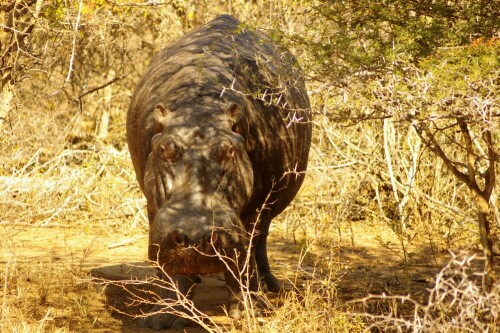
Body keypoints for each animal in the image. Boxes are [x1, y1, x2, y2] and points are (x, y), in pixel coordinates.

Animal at [127, 14, 310, 326]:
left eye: (228, 150)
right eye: (165, 149)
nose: (194, 237)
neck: (199, 109)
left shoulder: (252, 211)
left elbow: (242, 259)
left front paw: (247, 313)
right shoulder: (155, 207)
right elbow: (168, 269)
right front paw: (162, 318)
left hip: (268, 205)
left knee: (259, 241)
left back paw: (268, 287)